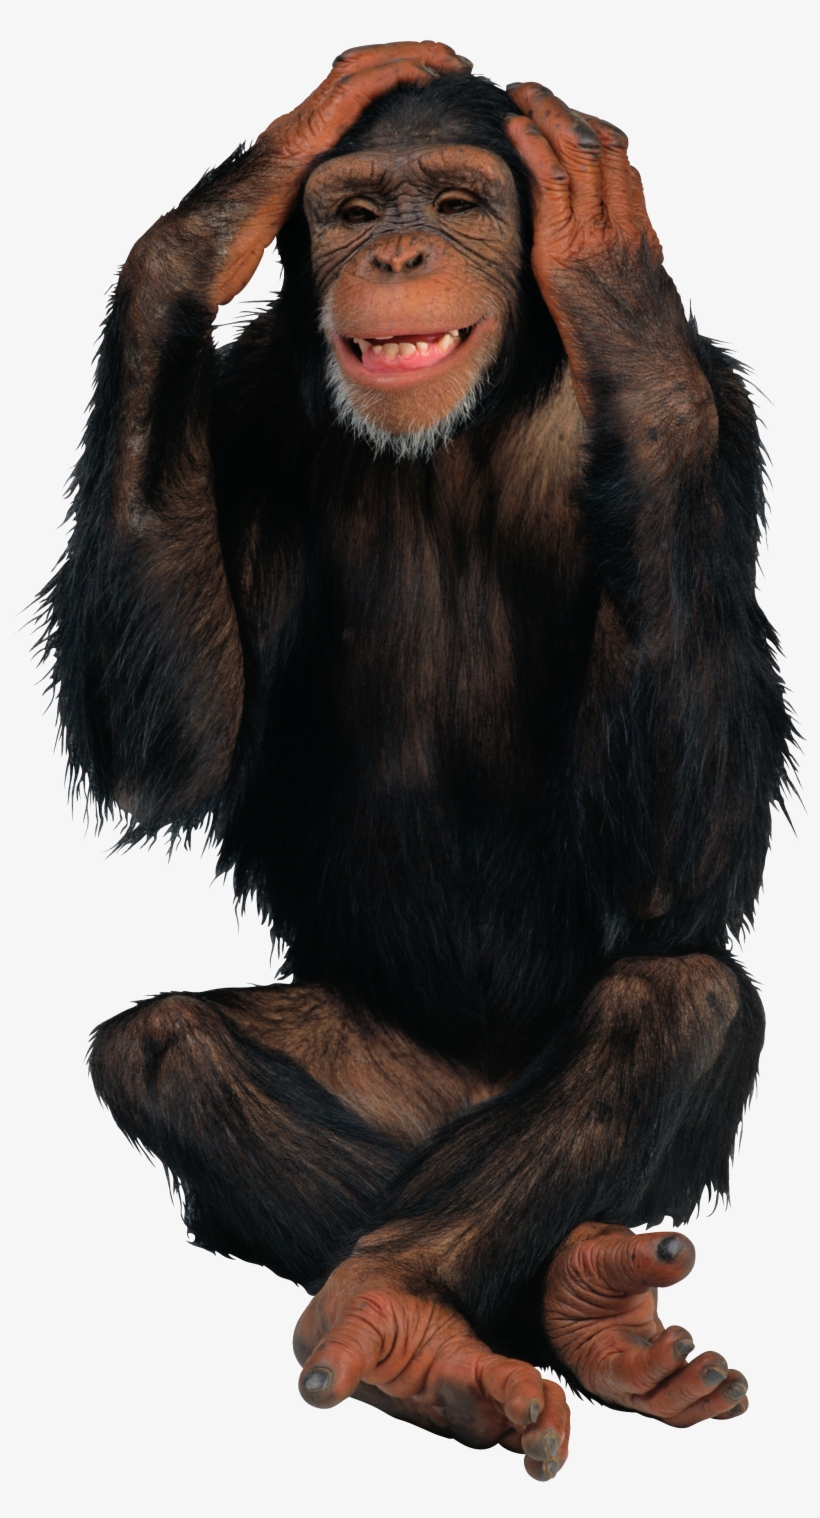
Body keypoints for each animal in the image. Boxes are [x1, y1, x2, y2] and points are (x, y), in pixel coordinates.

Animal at [40, 42, 793, 1482]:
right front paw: (212, 219)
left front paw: (614, 287)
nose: (393, 252)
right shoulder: (244, 411)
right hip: (393, 1096)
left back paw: (477, 1302)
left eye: (453, 202)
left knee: (675, 1003)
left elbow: (682, 872)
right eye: (348, 208)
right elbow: (175, 749)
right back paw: (450, 1322)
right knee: (168, 1050)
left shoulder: (725, 438)